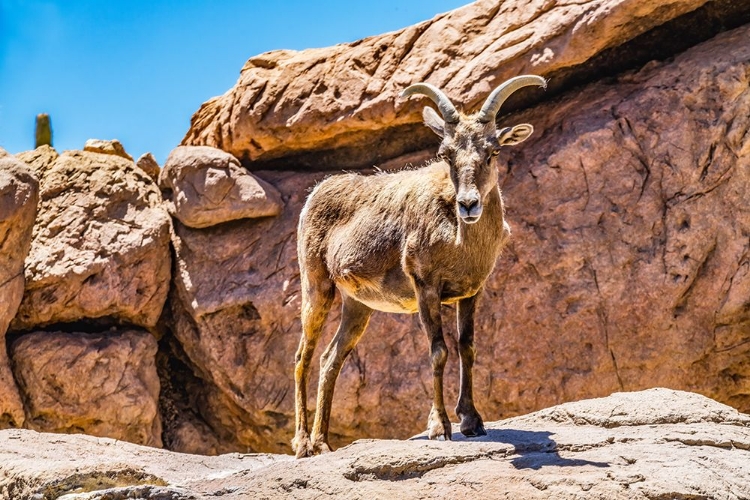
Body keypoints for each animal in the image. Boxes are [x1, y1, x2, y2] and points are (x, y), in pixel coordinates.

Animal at [292, 73, 548, 458]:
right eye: (446, 154)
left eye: (493, 151)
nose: (468, 204)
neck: (459, 241)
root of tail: (314, 195)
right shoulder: (426, 288)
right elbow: (439, 351)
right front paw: (440, 427)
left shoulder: (471, 293)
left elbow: (467, 348)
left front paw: (472, 422)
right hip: (317, 288)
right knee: (302, 358)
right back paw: (303, 444)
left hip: (357, 307)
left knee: (330, 359)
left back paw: (323, 443)